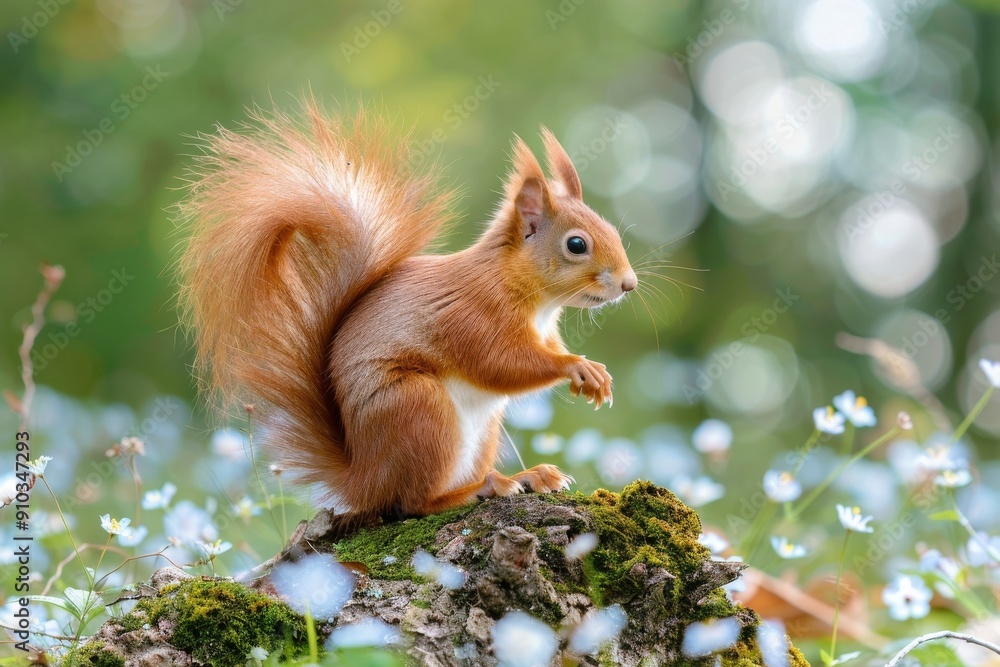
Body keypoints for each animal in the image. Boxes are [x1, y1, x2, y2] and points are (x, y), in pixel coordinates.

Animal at [177, 101, 637, 518]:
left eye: (612, 230)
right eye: (576, 244)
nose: (628, 284)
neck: (533, 298)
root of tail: (365, 477)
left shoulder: (543, 331)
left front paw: (591, 375)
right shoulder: (472, 315)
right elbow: (500, 363)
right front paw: (579, 367)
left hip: (480, 429)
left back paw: (527, 477)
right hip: (418, 410)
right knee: (412, 503)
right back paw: (482, 489)